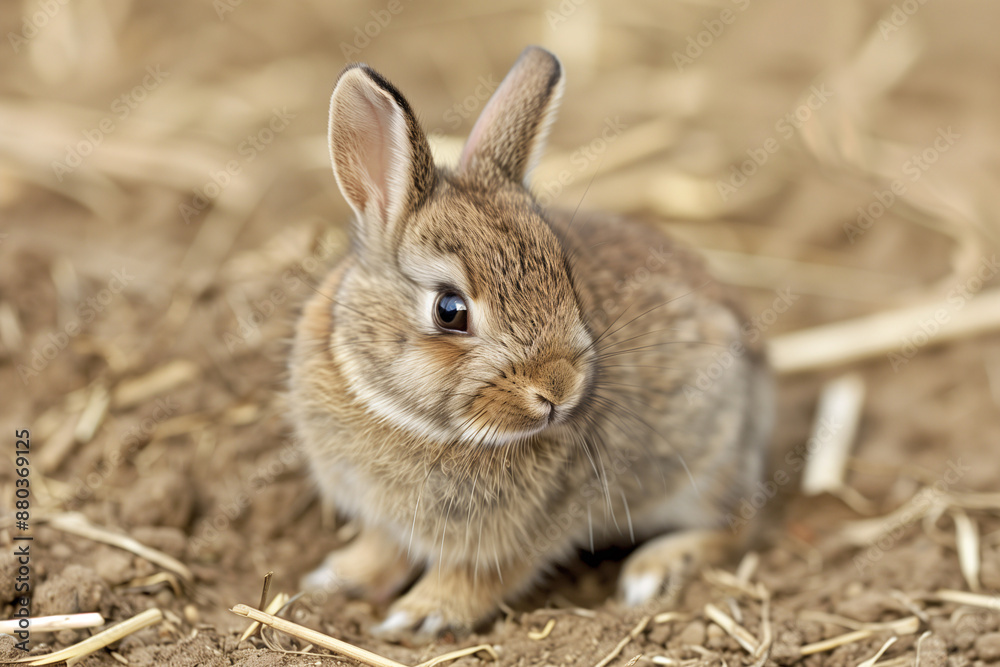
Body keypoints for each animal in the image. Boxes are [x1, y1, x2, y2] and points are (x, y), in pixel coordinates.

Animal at [288, 45, 773, 640]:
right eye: (449, 310)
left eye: (564, 274)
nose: (558, 389)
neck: (400, 415)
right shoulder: (382, 517)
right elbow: (382, 550)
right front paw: (338, 579)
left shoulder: (525, 531)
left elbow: (479, 576)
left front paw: (421, 613)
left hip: (705, 468)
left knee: (740, 524)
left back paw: (654, 569)